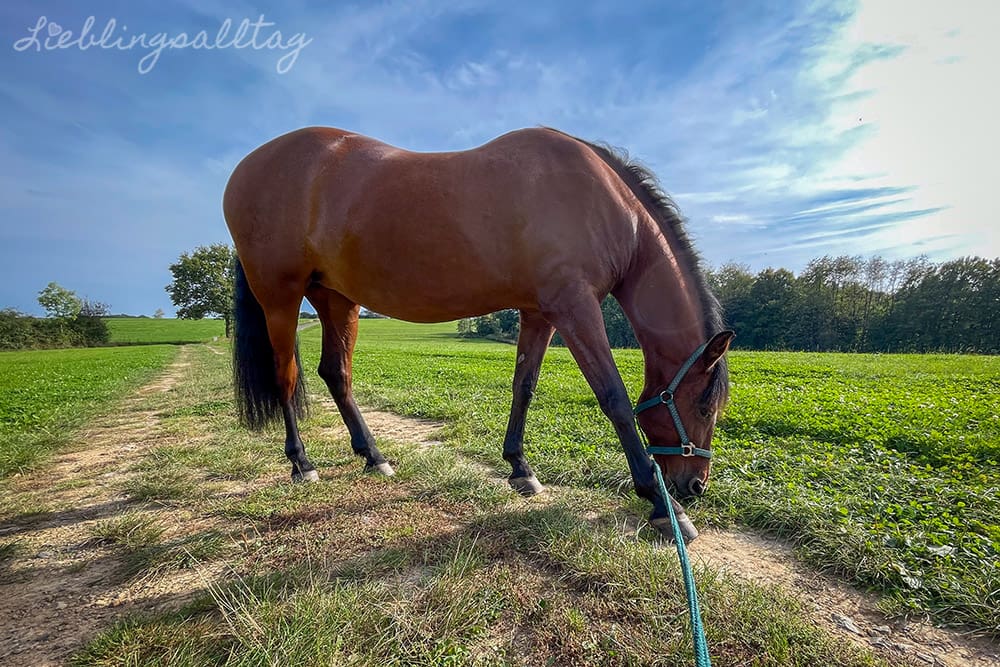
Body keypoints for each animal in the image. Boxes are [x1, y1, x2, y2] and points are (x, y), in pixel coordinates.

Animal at [227, 126, 736, 544]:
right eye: (704, 405)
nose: (694, 486)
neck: (603, 204)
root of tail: (247, 168)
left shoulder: (540, 313)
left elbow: (524, 386)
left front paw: (520, 469)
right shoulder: (575, 306)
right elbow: (614, 397)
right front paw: (661, 506)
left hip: (337, 300)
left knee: (336, 373)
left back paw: (374, 456)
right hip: (281, 299)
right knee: (286, 376)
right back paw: (302, 464)